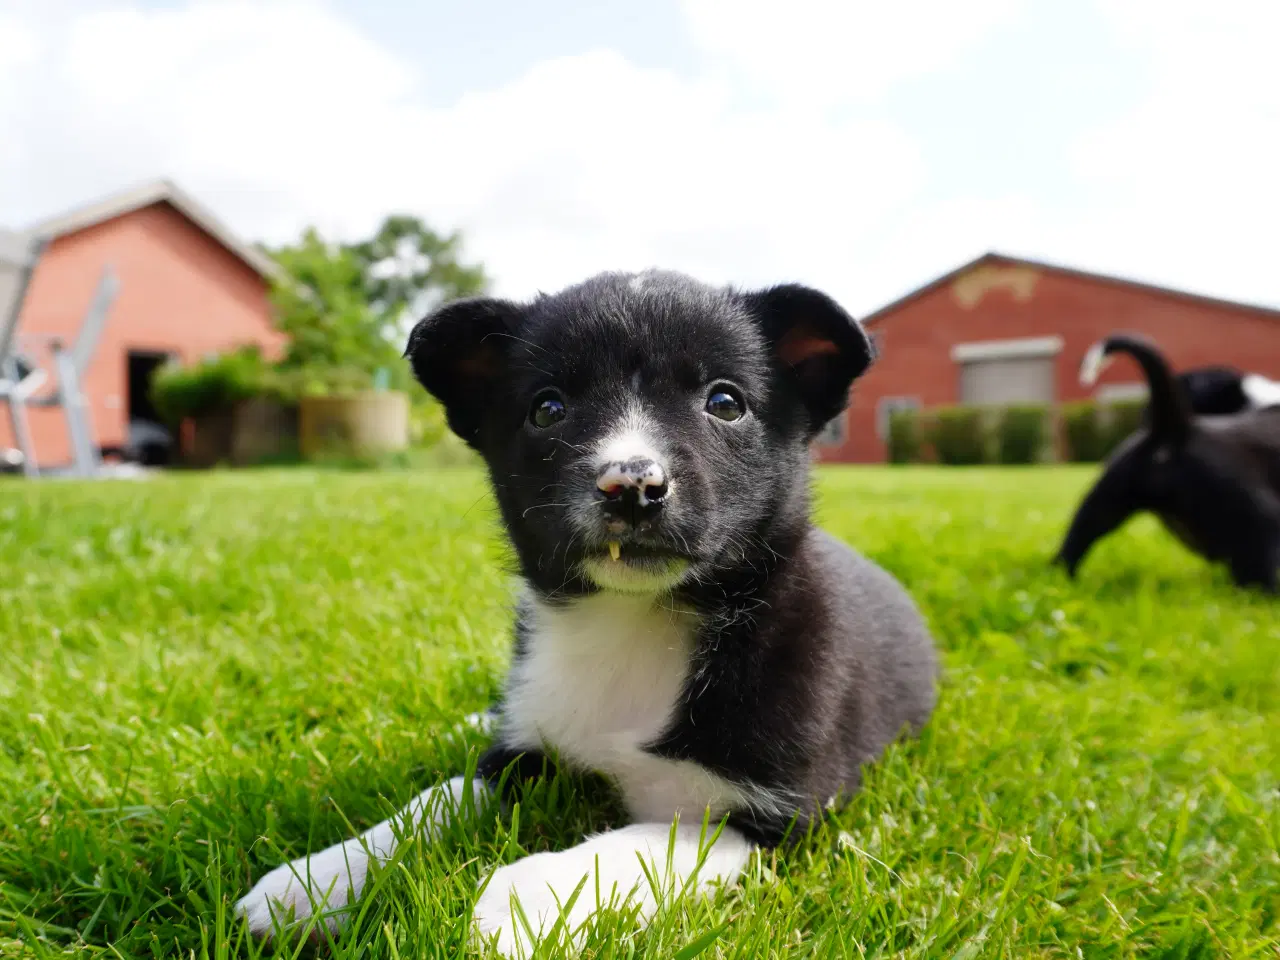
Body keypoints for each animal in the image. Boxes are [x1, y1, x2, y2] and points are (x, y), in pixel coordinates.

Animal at [235, 271, 942, 957]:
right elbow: (438, 798)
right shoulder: (525, 749)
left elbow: (629, 848)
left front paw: (518, 907)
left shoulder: (769, 817)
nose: (631, 485)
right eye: (548, 408)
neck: (630, 621)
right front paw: (315, 880)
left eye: (725, 402)